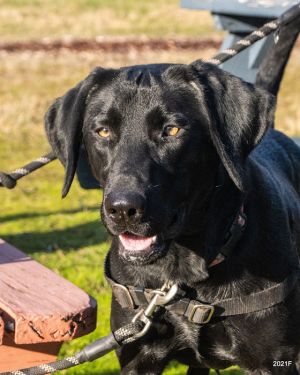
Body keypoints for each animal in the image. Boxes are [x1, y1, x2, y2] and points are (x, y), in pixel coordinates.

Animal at [44, 60, 300, 374]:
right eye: (102, 131)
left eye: (173, 130)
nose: (122, 209)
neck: (180, 274)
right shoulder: (137, 358)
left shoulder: (273, 361)